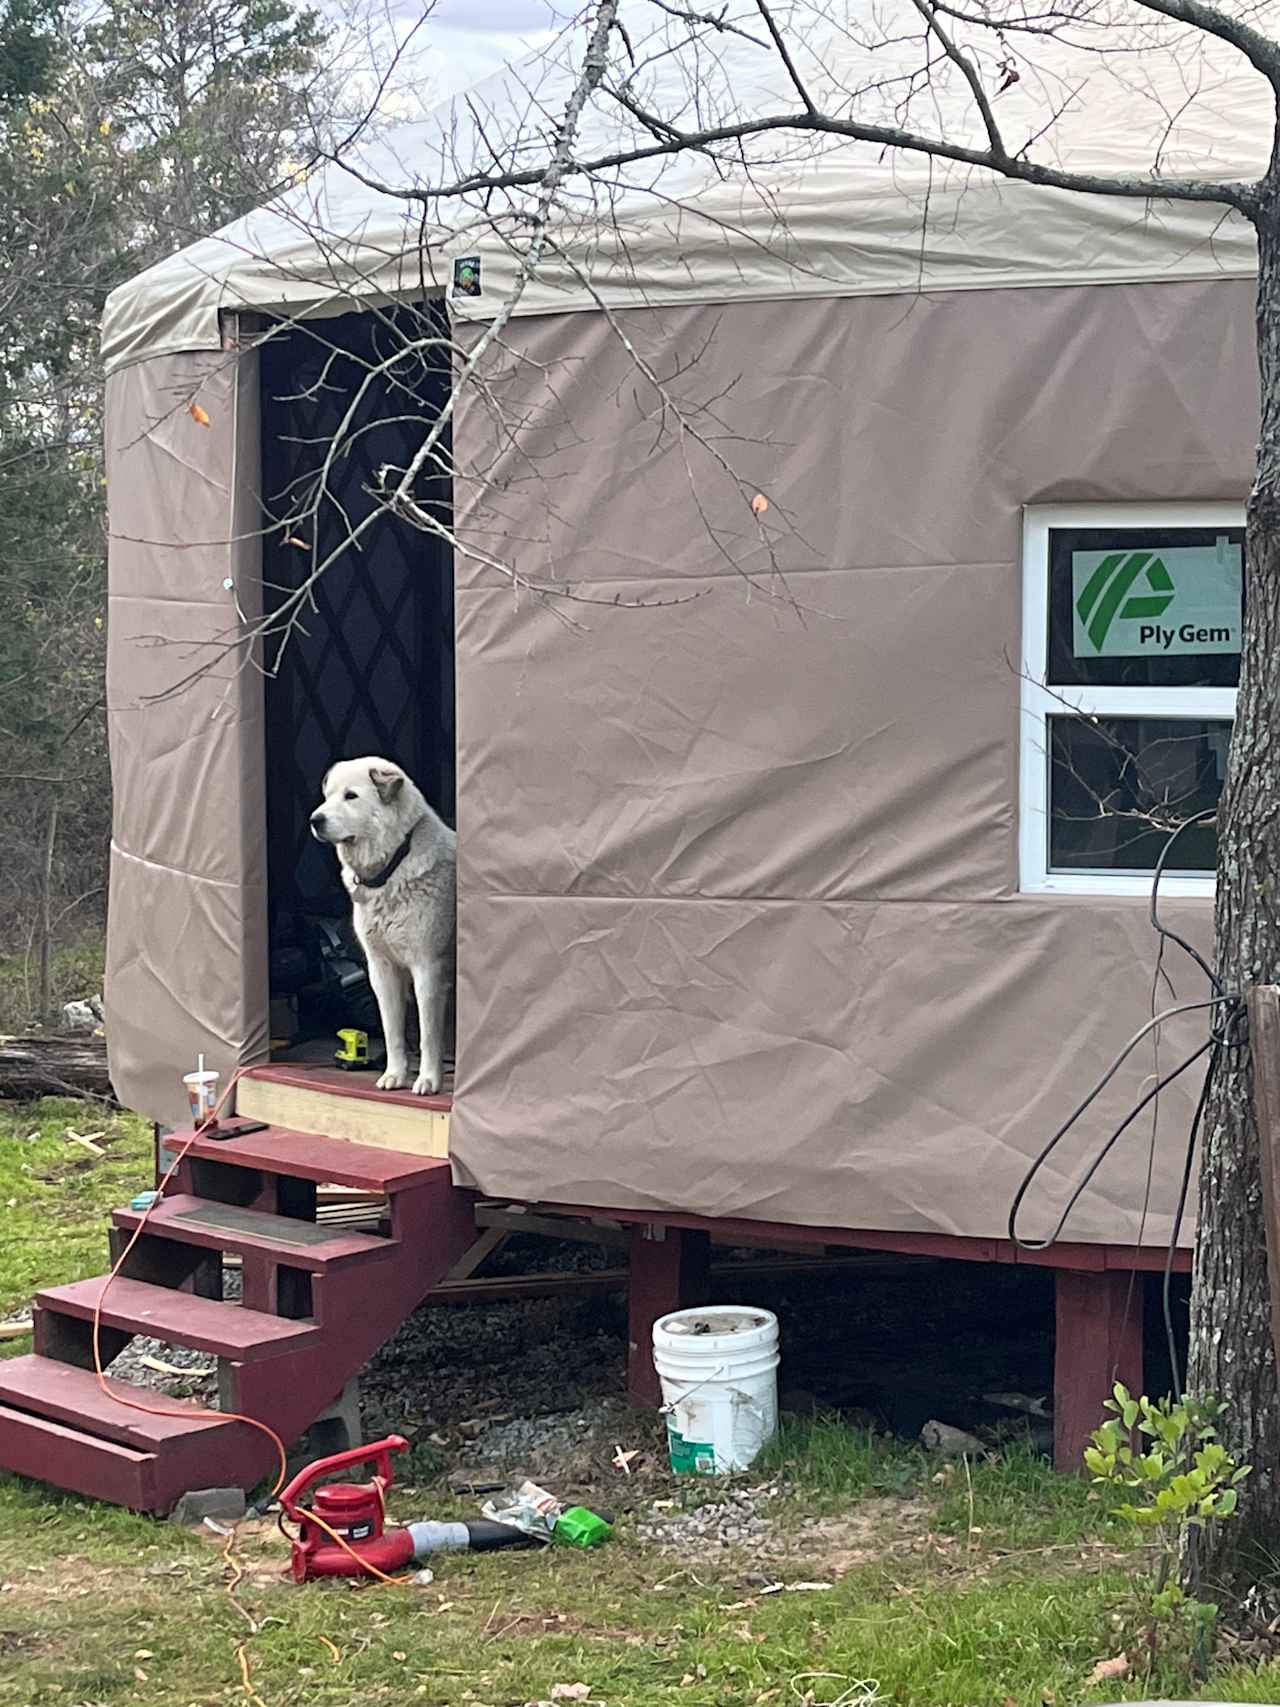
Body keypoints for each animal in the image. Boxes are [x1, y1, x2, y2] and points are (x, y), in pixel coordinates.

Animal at [310, 757, 457, 1092]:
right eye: (328, 796)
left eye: (351, 796)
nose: (315, 820)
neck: (394, 863)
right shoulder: (382, 969)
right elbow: (392, 1032)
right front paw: (395, 1075)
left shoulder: (428, 968)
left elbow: (428, 1035)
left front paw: (428, 1080)